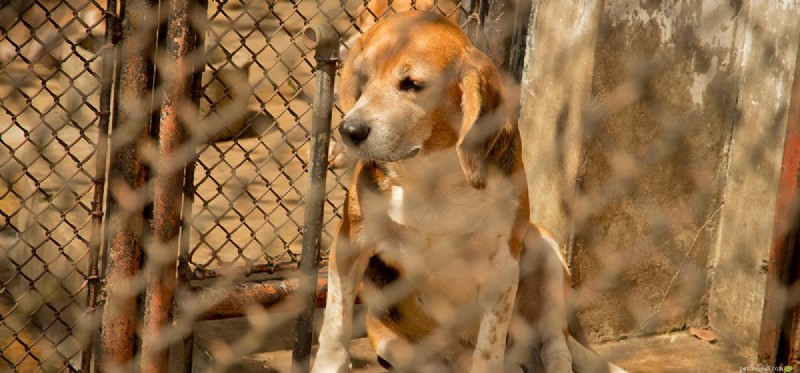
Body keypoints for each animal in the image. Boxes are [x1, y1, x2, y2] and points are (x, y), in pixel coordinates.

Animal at [312, 10, 624, 372]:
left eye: (412, 85)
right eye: (363, 79)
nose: (349, 130)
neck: (432, 180)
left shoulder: (502, 266)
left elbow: (489, 347)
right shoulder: (350, 245)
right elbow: (335, 324)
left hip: (545, 249)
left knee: (556, 351)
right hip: (395, 347)